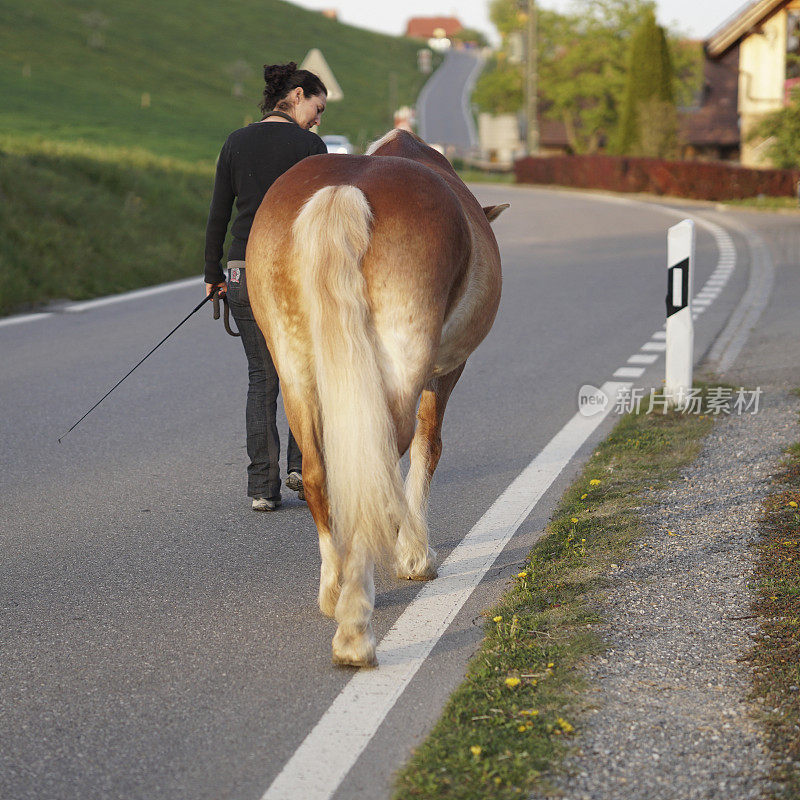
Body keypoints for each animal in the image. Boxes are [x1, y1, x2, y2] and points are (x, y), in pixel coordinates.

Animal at [247, 133, 506, 668]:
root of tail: (346, 191)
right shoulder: (443, 373)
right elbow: (429, 449)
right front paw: (414, 555)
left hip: (296, 372)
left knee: (321, 474)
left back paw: (334, 590)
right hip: (399, 367)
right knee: (374, 469)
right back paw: (354, 631)